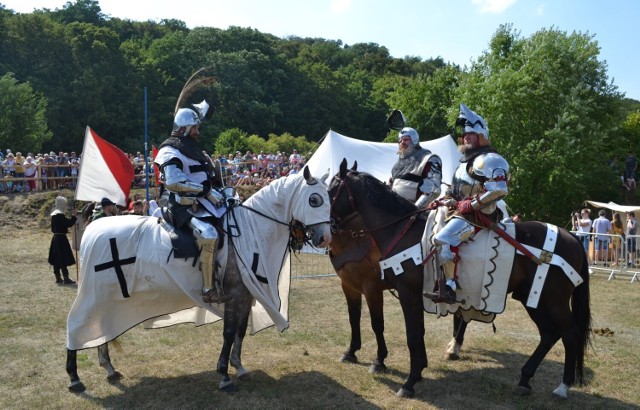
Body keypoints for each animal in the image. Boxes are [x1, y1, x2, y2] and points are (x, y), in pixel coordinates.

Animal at [66, 167, 330, 394]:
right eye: (315, 199)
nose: (325, 238)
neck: (250, 231)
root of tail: (93, 228)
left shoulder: (246, 296)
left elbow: (241, 331)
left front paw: (239, 367)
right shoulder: (234, 296)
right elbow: (228, 333)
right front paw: (224, 376)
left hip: (106, 297)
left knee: (102, 327)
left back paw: (109, 368)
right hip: (94, 295)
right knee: (77, 325)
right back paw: (75, 378)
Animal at [328, 159, 592, 398]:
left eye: (331, 189)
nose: (327, 227)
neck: (400, 231)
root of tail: (571, 236)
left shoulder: (404, 292)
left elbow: (411, 335)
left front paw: (408, 382)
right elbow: (416, 333)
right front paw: (416, 371)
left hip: (553, 300)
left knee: (570, 334)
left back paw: (563, 386)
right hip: (532, 298)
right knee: (549, 334)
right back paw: (525, 379)